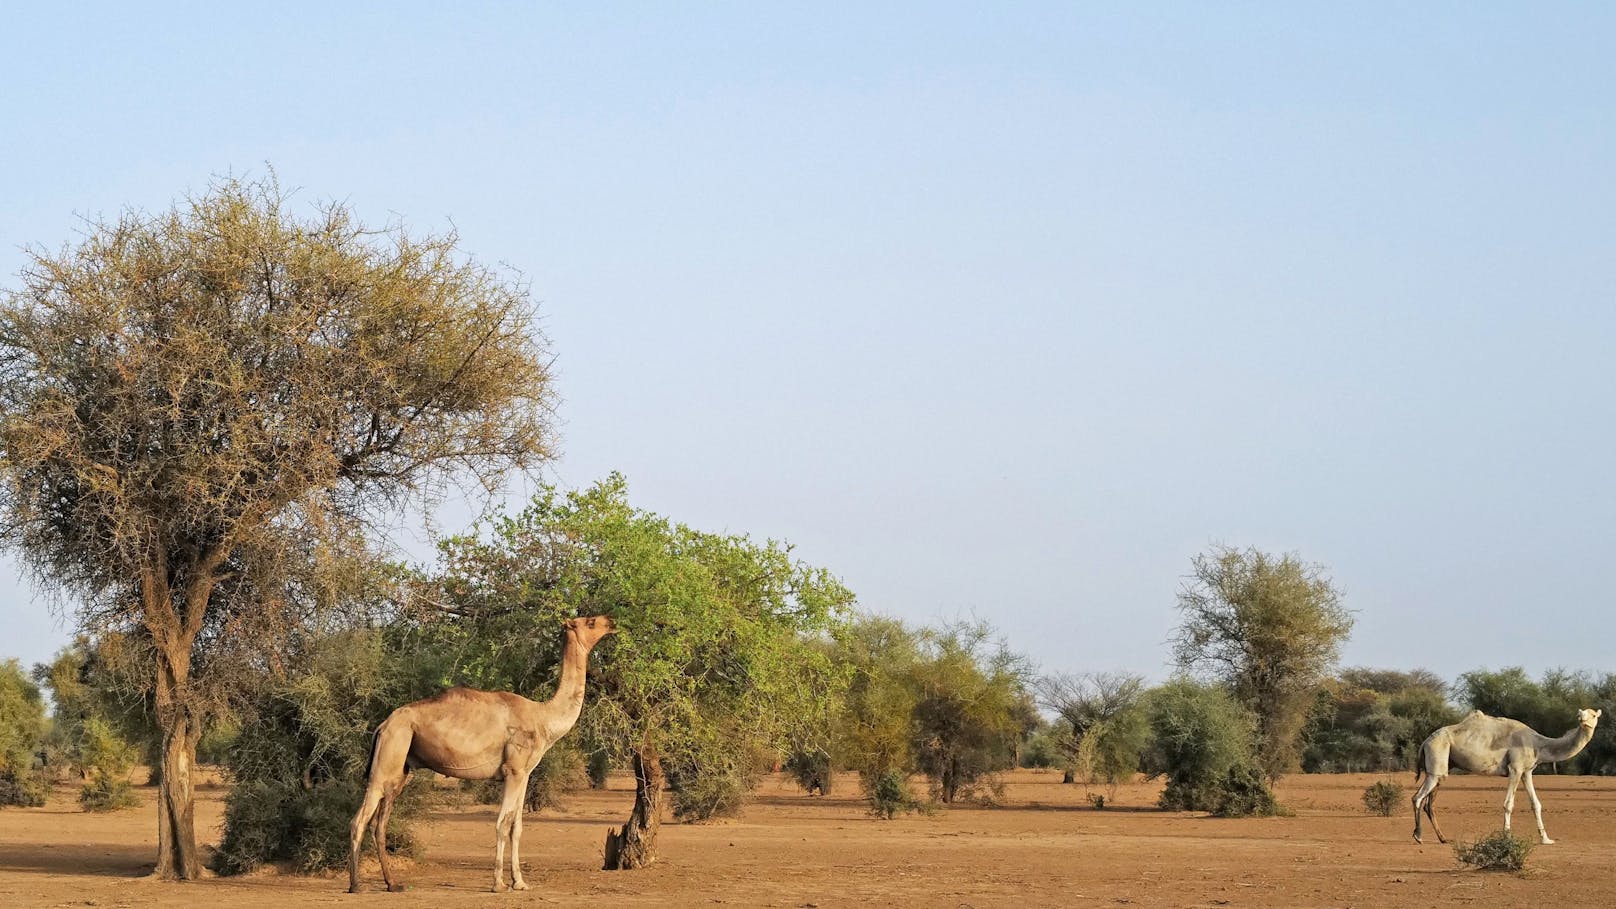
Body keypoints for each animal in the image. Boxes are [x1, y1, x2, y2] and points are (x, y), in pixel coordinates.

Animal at [347, 611, 617, 886]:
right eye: (590, 622)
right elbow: (502, 823)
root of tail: (383, 725)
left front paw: (519, 882)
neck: (544, 719)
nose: (611, 621)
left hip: (402, 766)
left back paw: (392, 884)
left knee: (379, 821)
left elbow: (517, 827)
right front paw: (498, 882)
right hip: (389, 753)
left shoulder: (525, 773)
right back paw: (356, 884)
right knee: (360, 819)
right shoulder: (513, 770)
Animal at [1409, 705, 1596, 847]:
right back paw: (1418, 836)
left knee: (1429, 803)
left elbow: (1536, 804)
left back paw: (1442, 838)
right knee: (1417, 798)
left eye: (1593, 714)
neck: (1537, 743)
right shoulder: (1515, 768)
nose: (1582, 719)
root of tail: (1426, 741)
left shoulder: (1526, 771)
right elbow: (1508, 804)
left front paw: (1546, 839)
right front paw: (1507, 837)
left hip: (1443, 765)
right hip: (1437, 757)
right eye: (1580, 713)